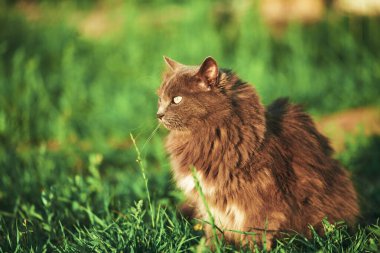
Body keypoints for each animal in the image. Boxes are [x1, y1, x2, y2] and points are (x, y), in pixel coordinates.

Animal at [156, 56, 358, 248]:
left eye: (176, 99)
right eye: (160, 99)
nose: (158, 114)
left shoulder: (259, 202)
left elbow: (256, 234)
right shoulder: (208, 203)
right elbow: (213, 231)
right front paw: (211, 248)